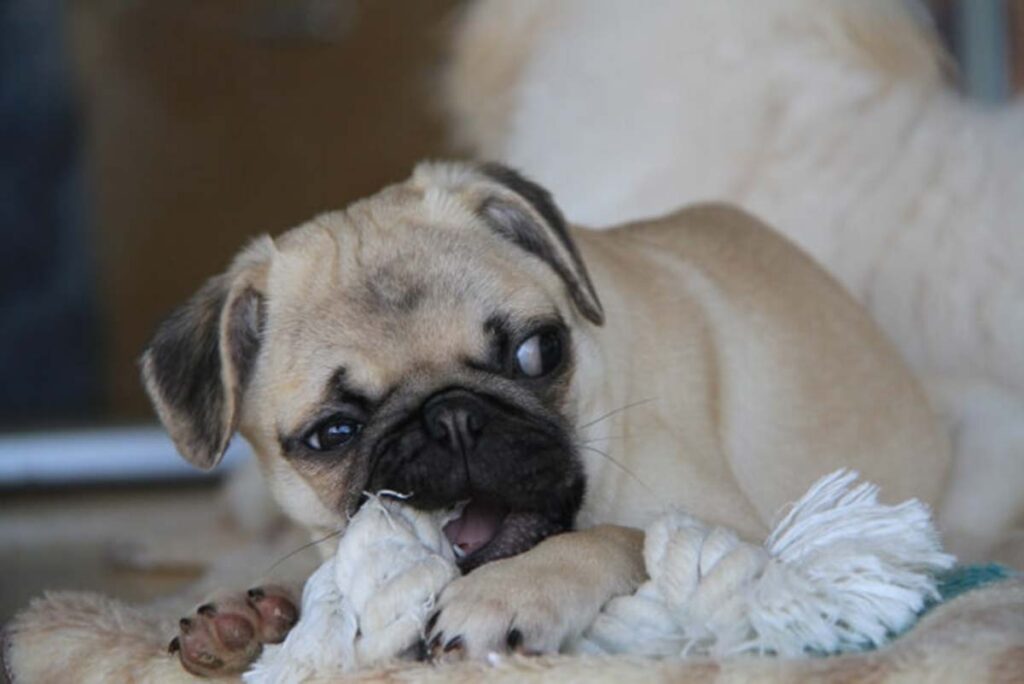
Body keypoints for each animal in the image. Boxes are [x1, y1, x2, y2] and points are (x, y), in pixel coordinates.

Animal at [140, 161, 946, 671]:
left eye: (536, 352)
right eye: (333, 433)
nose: (452, 418)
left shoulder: (746, 536)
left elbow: (619, 535)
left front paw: (511, 590)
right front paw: (253, 613)